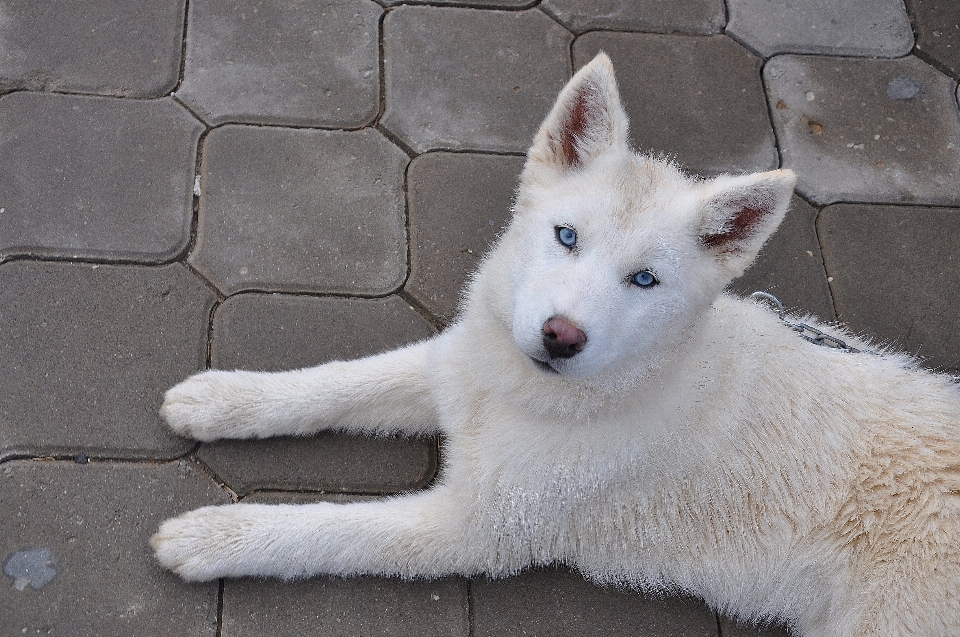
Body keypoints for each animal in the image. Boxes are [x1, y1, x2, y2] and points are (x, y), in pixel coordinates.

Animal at [154, 54, 956, 636]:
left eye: (644, 279)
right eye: (566, 236)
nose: (560, 336)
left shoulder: (473, 530)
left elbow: (324, 529)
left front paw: (219, 535)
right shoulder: (462, 364)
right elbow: (337, 382)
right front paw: (225, 399)